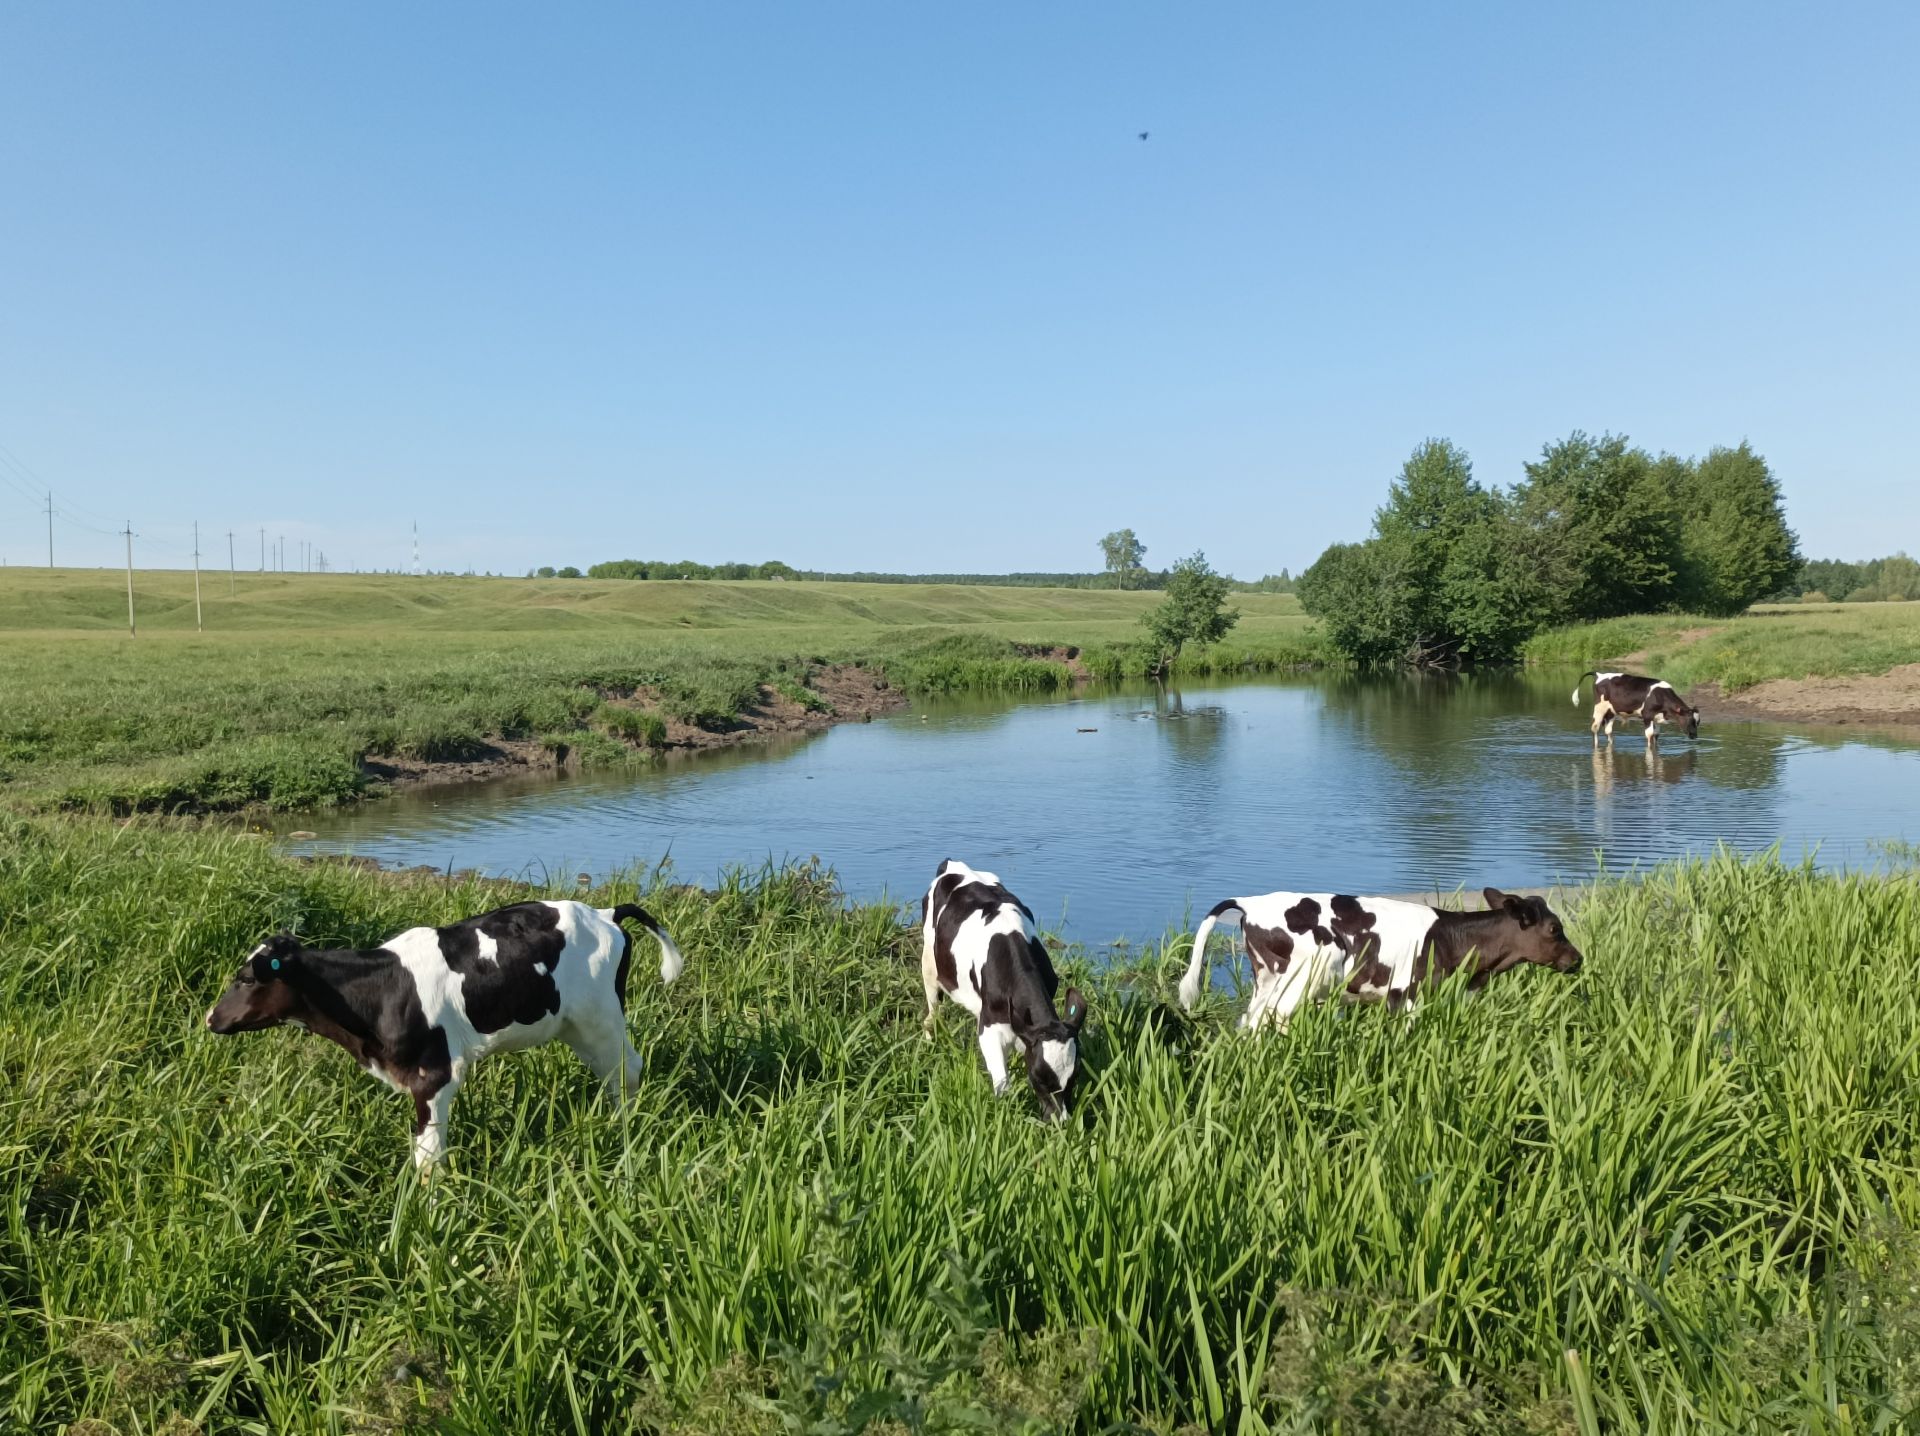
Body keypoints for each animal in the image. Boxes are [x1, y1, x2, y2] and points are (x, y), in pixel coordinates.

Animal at [207, 902, 687, 1174]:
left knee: (627, 1069)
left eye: (245, 978)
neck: (383, 991)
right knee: (613, 1072)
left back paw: (621, 1129)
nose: (211, 1018)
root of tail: (605, 915)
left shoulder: (434, 1074)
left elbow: (428, 1153)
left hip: (602, 1017)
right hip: (575, 1026)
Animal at [921, 860, 1090, 1113]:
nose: (1059, 1119)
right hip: (929, 964)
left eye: (1073, 1077)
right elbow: (1002, 1083)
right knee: (932, 1013)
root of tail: (952, 864)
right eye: (1038, 1078)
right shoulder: (990, 1027)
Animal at [1175, 879, 1582, 1029]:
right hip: (1304, 973)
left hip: (1267, 978)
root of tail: (1250, 902)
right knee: (1272, 1018)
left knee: (1251, 1020)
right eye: (1554, 928)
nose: (1577, 959)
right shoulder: (1410, 996)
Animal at [1566, 668, 1704, 744]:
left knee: (1608, 731)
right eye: (1690, 721)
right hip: (1599, 708)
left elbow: (1656, 735)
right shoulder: (1647, 715)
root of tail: (1600, 675)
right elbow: (1649, 735)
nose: (1694, 736)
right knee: (1595, 728)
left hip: (1611, 711)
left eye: (1697, 722)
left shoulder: (1656, 717)